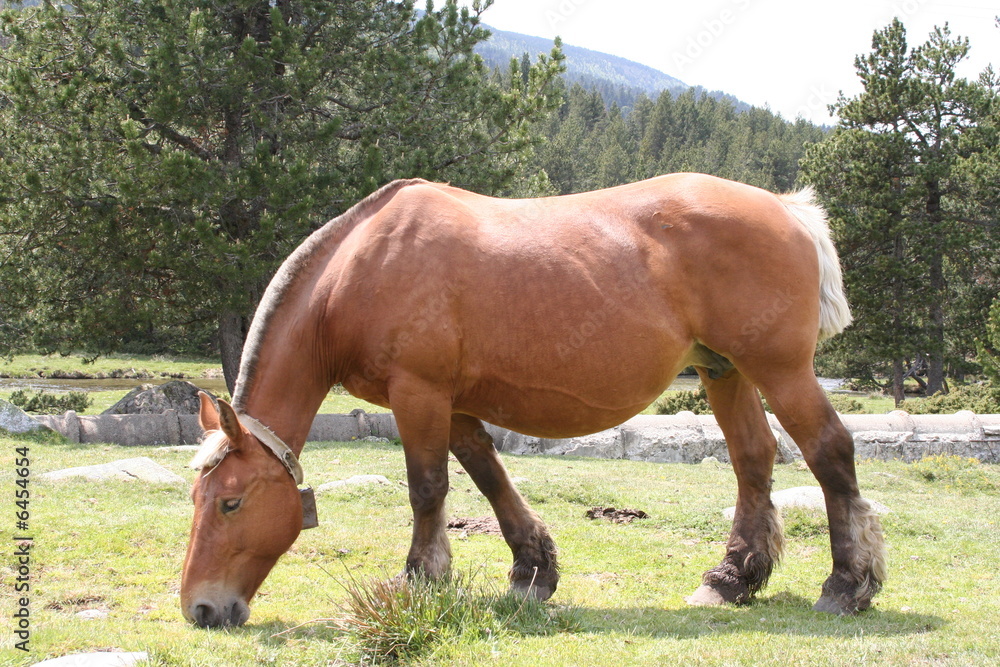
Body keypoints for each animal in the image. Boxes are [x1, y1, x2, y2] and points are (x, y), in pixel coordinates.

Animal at [180, 171, 884, 628]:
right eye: (198, 500)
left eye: (230, 502)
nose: (201, 608)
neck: (357, 270)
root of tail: (787, 209)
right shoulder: (453, 403)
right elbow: (489, 478)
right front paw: (532, 570)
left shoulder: (419, 392)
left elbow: (428, 489)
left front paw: (419, 580)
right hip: (724, 371)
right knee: (753, 459)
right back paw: (733, 579)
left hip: (779, 370)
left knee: (829, 452)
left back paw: (847, 585)